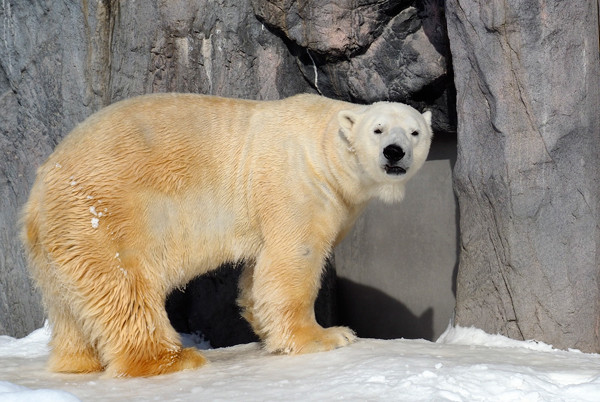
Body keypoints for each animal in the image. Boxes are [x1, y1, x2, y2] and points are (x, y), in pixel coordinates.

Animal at [18, 92, 432, 376]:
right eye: (378, 129)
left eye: (415, 131)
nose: (394, 152)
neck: (323, 150)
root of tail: (40, 189)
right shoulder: (295, 185)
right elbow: (292, 261)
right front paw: (327, 336)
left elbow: (258, 274)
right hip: (107, 214)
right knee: (125, 287)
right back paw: (171, 358)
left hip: (59, 239)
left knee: (69, 302)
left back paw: (77, 361)